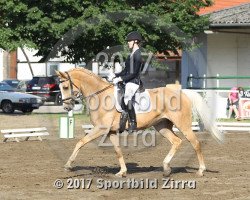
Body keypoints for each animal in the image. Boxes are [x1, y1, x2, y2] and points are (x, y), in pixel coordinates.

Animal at [56, 68, 223, 177]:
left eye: (65, 86)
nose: (66, 107)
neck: (101, 97)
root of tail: (181, 92)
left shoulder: (100, 129)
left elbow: (80, 142)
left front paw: (68, 165)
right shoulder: (111, 132)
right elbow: (118, 151)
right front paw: (122, 172)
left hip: (184, 125)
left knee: (195, 143)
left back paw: (201, 170)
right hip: (161, 126)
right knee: (176, 141)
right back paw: (166, 168)